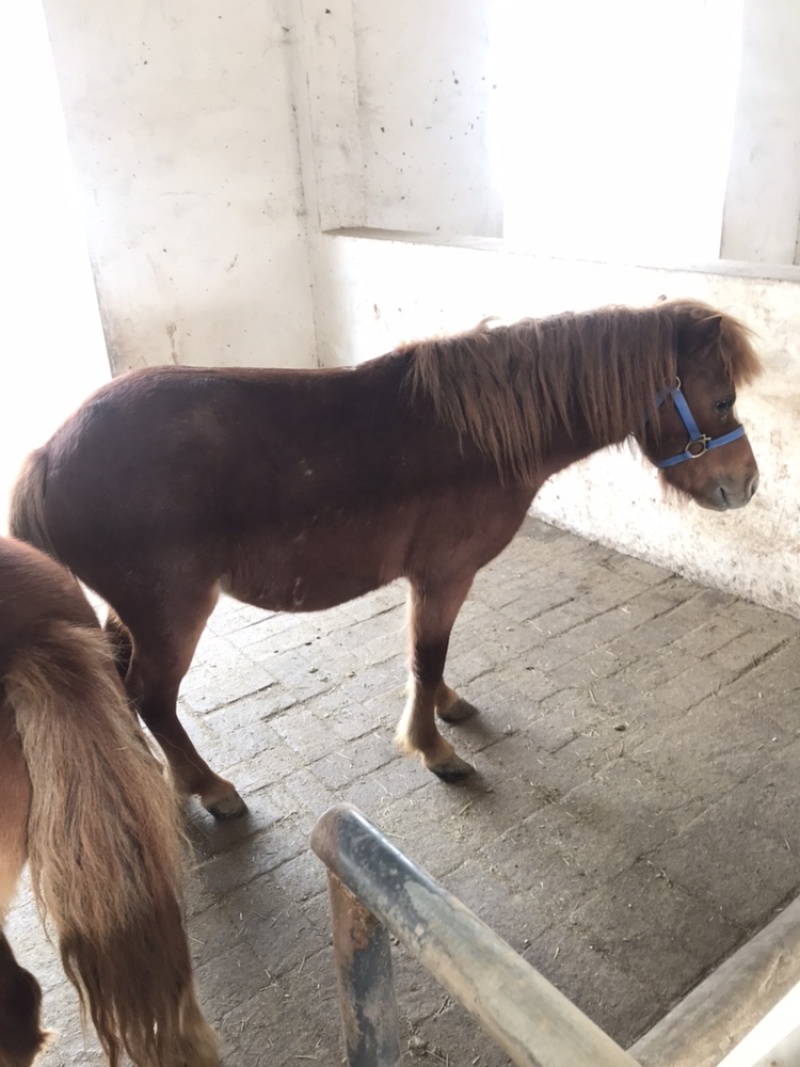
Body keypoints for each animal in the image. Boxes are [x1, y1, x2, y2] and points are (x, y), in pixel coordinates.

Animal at [9, 299, 762, 820]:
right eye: (721, 399)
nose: (747, 485)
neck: (475, 435)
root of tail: (47, 454)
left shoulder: (435, 581)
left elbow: (431, 659)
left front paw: (448, 707)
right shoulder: (443, 575)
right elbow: (426, 656)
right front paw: (434, 749)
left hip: (133, 610)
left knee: (120, 677)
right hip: (172, 613)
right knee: (151, 695)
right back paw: (209, 788)